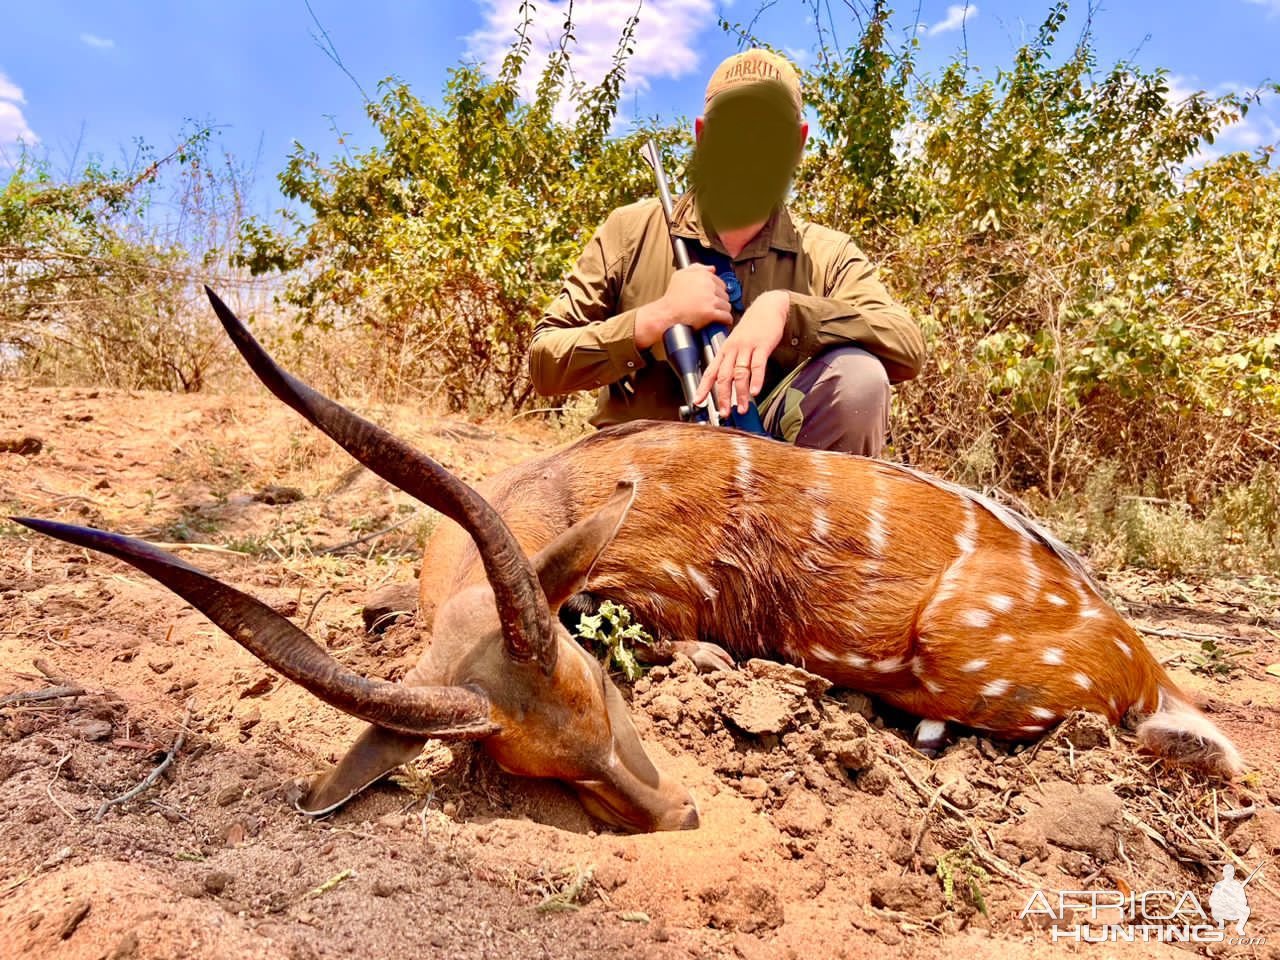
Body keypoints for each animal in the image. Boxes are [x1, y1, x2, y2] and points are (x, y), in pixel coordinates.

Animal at [17, 288, 1239, 834]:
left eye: (609, 695)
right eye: (546, 770)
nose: (680, 817)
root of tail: (1140, 660)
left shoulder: (661, 604)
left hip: (959, 657)